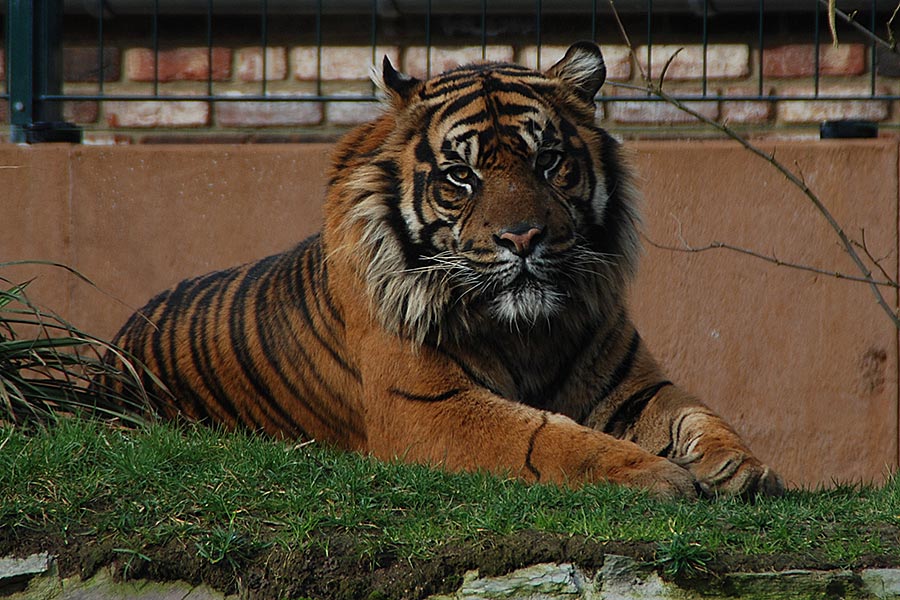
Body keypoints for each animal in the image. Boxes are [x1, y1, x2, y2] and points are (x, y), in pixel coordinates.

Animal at [98, 42, 780, 500]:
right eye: (461, 175)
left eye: (548, 161)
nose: (523, 238)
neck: (525, 332)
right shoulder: (429, 408)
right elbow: (547, 437)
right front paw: (654, 475)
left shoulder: (631, 383)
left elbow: (696, 414)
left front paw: (742, 470)